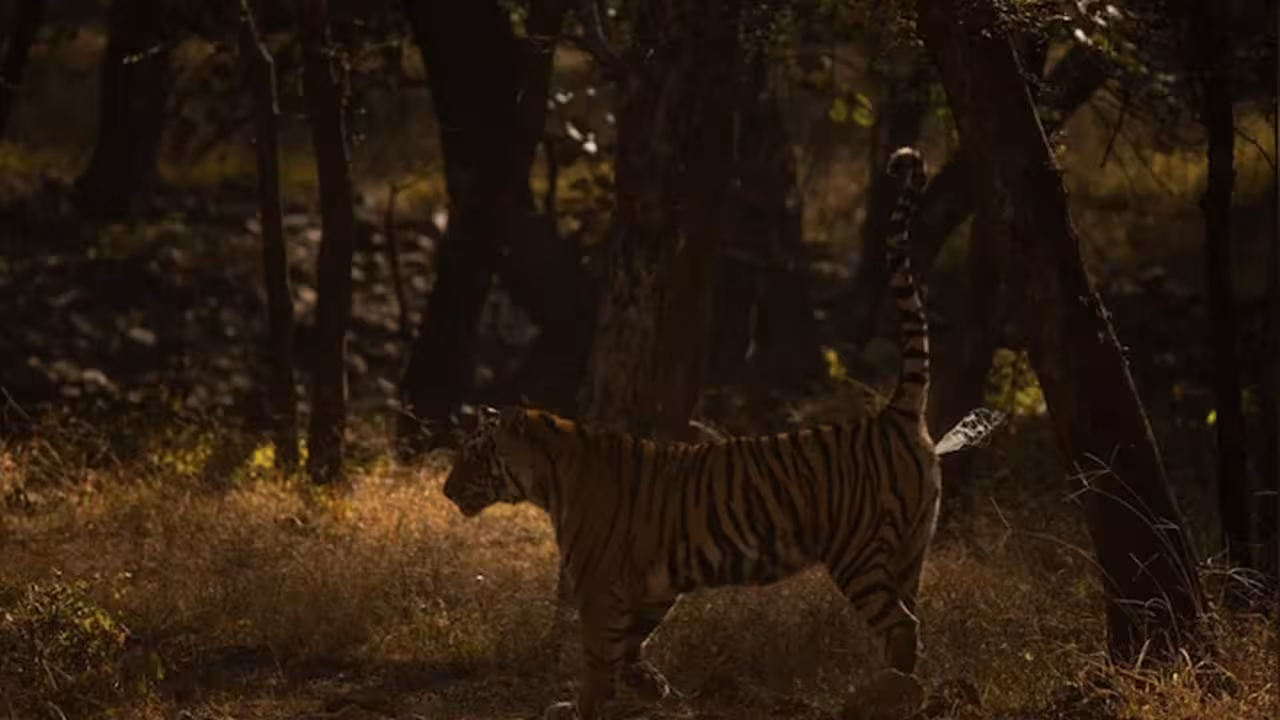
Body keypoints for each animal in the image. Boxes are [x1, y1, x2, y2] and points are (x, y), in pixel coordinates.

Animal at [442, 147, 1006, 720]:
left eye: (475, 454)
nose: (445, 490)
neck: (550, 478)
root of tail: (893, 413)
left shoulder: (601, 586)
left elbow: (600, 658)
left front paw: (587, 707)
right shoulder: (650, 586)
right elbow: (630, 649)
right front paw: (655, 689)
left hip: (859, 551)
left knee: (901, 626)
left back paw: (886, 694)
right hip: (912, 550)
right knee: (911, 621)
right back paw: (901, 690)